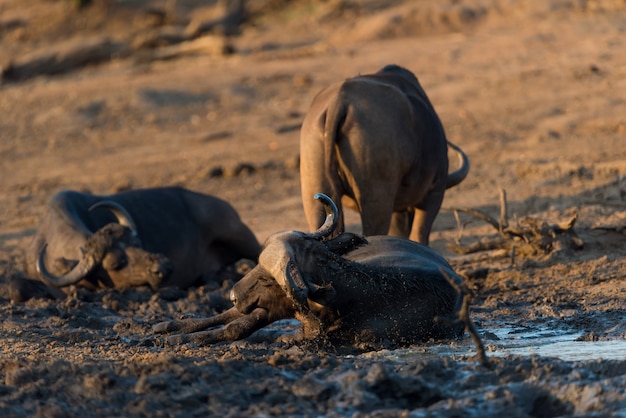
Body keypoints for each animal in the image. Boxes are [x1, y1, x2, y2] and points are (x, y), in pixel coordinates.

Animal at [153, 193, 460, 350]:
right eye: (257, 264)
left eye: (267, 278)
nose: (233, 295)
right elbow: (236, 325)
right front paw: (177, 334)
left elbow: (248, 329)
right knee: (232, 317)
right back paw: (164, 326)